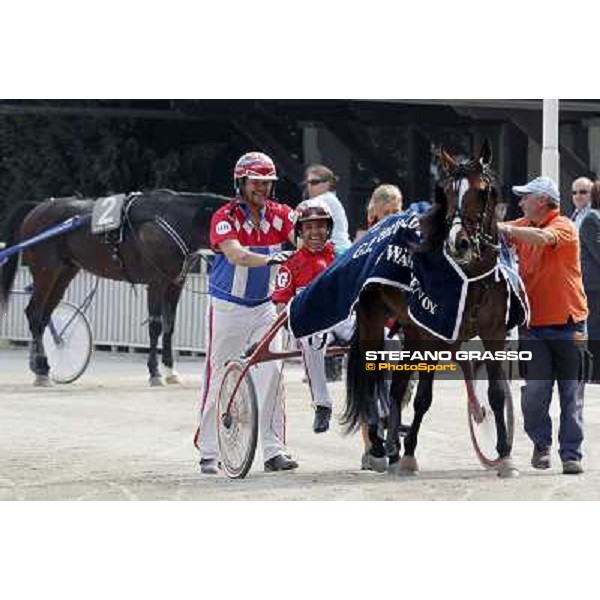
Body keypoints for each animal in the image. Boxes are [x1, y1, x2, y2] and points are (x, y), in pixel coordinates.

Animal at [0, 191, 227, 384]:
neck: (171, 219)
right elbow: (156, 326)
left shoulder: (175, 283)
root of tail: (38, 207)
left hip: (63, 274)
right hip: (46, 272)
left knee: (43, 317)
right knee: (34, 313)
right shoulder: (156, 282)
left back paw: (40, 368)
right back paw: (42, 366)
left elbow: (169, 326)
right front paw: (154, 371)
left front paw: (171, 371)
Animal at [344, 141, 516, 478]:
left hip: (411, 329)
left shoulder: (493, 332)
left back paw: (393, 448)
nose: (458, 243)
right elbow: (424, 397)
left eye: (483, 192)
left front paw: (504, 455)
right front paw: (410, 453)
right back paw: (378, 447)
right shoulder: (433, 334)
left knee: (396, 388)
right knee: (371, 380)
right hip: (374, 320)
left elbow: (496, 394)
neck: (470, 276)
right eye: (447, 192)